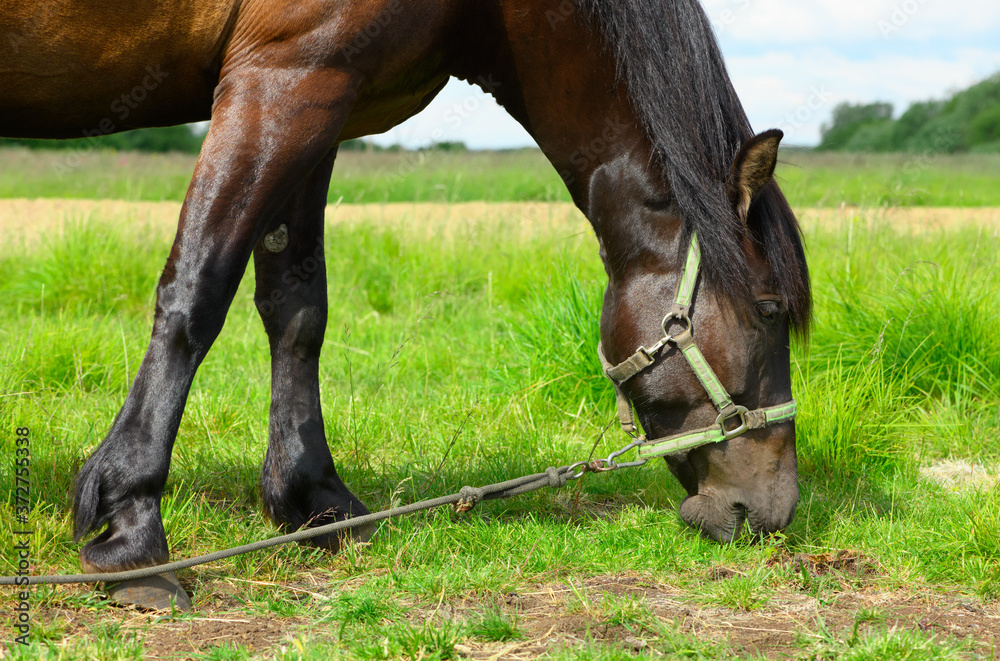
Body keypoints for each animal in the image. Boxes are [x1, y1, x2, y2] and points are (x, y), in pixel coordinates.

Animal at [1, 0, 810, 609]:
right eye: (770, 310)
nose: (772, 510)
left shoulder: (322, 99)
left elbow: (297, 307)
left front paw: (315, 501)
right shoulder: (284, 77)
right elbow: (198, 290)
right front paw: (130, 528)